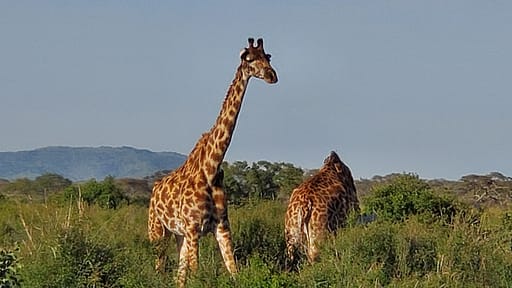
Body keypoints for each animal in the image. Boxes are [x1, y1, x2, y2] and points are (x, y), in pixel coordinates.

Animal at [146, 37, 278, 286]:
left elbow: (233, 270)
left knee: (178, 275)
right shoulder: (193, 228)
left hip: (179, 236)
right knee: (159, 268)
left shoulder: (222, 226)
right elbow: (197, 273)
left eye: (268, 57)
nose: (271, 75)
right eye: (249, 58)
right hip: (158, 230)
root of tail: (154, 190)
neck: (211, 167)